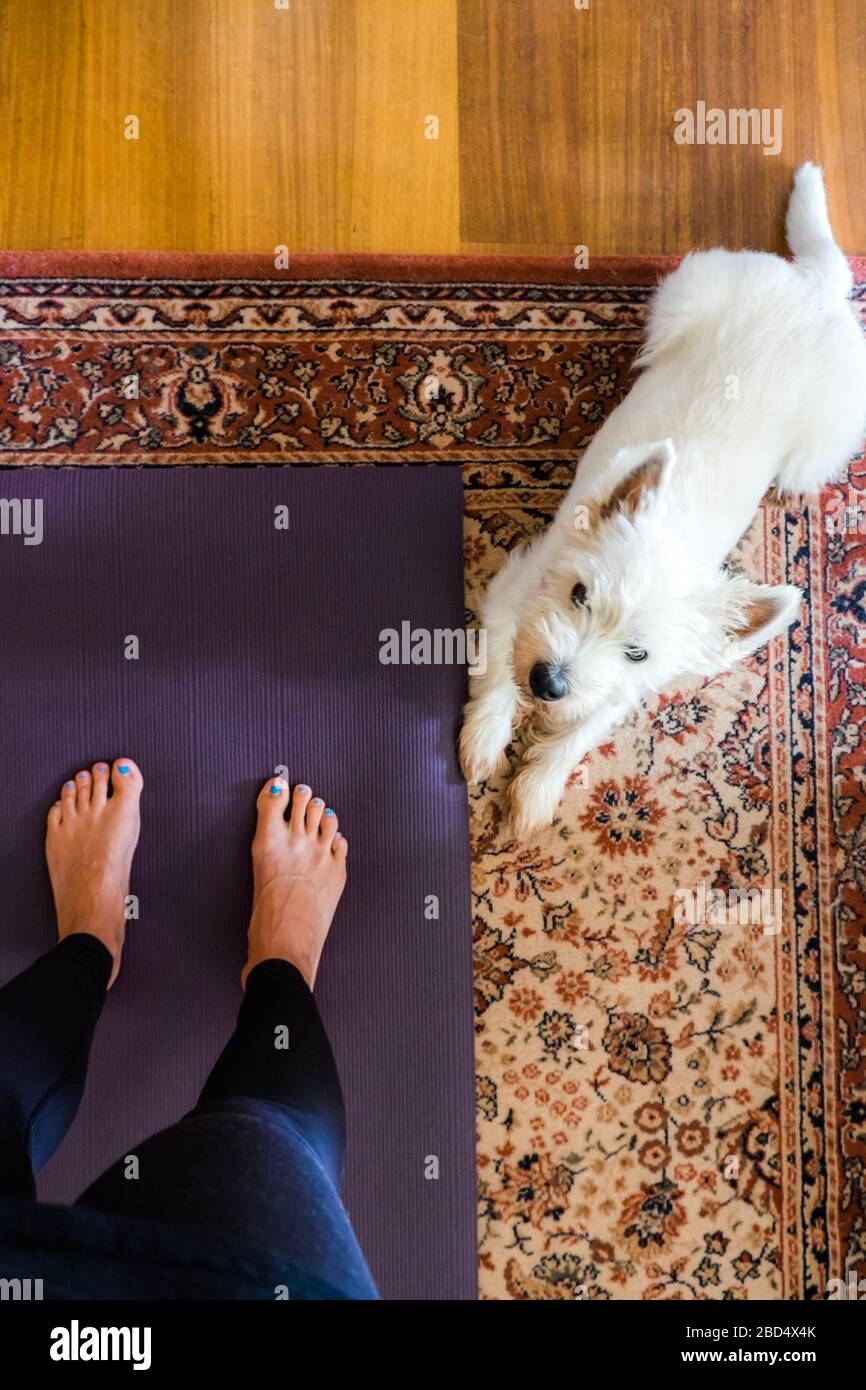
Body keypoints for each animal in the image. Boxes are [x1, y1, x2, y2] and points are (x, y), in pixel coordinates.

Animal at [461, 162, 866, 834]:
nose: (548, 682)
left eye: (638, 652)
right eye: (578, 594)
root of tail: (817, 288)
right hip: (691, 287)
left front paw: (536, 791)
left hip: (819, 449)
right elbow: (495, 663)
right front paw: (486, 739)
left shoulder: (624, 687)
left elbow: (584, 725)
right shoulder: (515, 586)